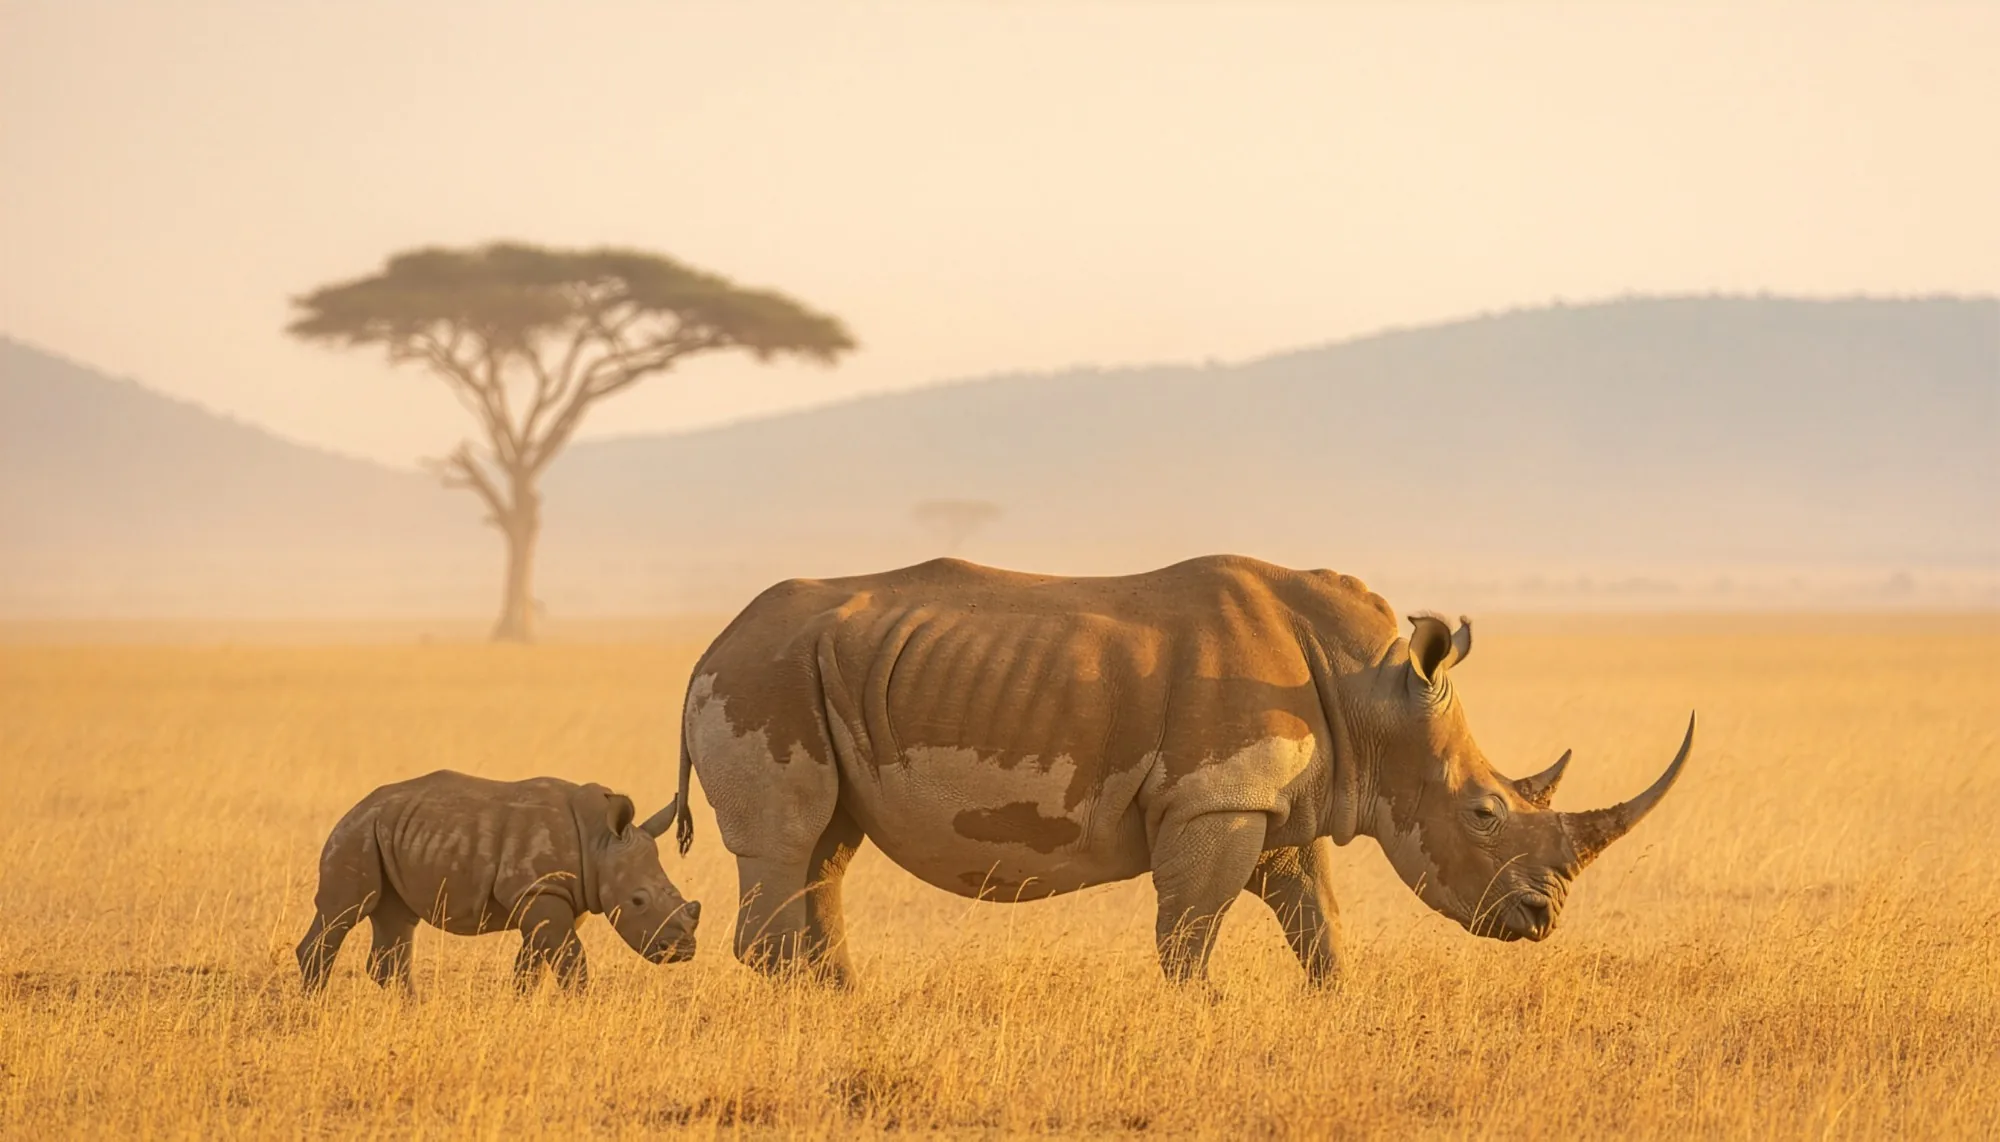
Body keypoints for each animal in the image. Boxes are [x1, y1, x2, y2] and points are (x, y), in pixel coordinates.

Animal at [297, 771, 701, 993]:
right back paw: (316, 1009)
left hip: (387, 831)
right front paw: (580, 1008)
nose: (681, 951)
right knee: (346, 911)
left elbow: (532, 966)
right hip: (356, 832)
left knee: (396, 919)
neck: (599, 841)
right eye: (638, 901)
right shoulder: (540, 889)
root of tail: (357, 805)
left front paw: (523, 1010)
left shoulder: (554, 896)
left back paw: (414, 1011)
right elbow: (571, 961)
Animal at [661, 555, 1691, 986]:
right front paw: (1211, 1015)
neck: (1377, 695)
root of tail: (709, 642)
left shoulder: (1274, 804)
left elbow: (1322, 928)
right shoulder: (1215, 800)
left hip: (818, 673)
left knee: (826, 850)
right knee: (787, 844)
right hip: (765, 677)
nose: (1541, 921)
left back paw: (845, 1004)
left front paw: (1338, 1010)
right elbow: (1190, 935)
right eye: (1484, 813)